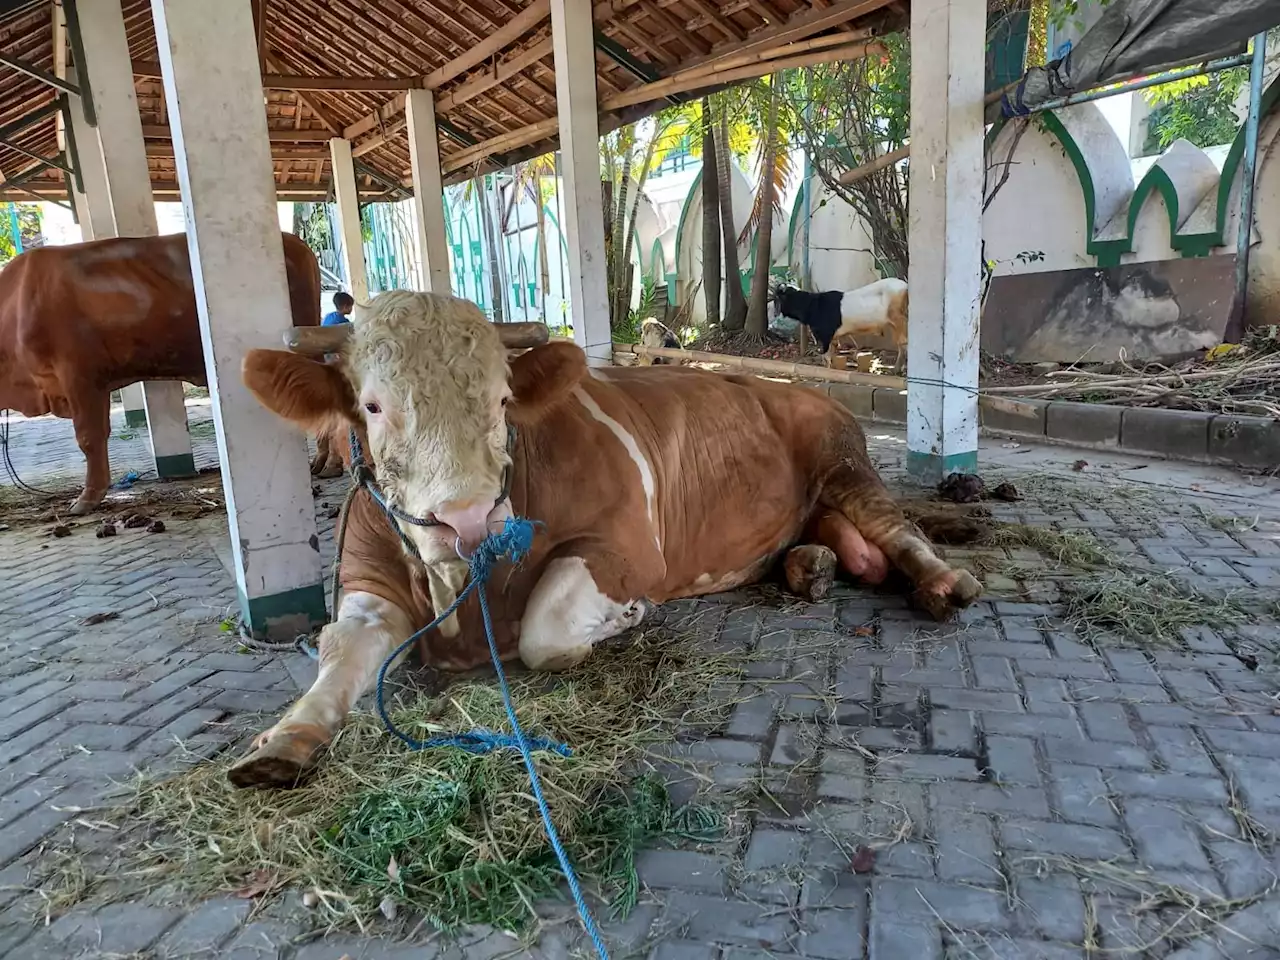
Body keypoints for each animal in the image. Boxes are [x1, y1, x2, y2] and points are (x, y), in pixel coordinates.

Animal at [235, 291, 983, 788]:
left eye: (502, 402)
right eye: (372, 406)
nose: (468, 520)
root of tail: (787, 385)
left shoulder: (629, 547)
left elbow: (544, 631)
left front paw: (622, 619)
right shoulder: (366, 578)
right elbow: (339, 651)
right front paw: (284, 737)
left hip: (843, 457)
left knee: (896, 526)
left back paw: (942, 581)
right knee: (839, 536)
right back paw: (818, 564)